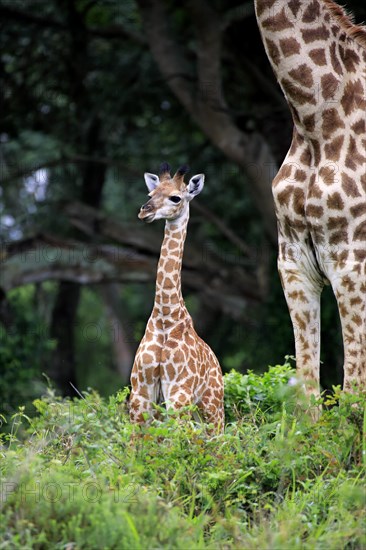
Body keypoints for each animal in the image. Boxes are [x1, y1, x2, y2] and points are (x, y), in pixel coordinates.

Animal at [130, 164, 224, 436]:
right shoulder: (140, 392)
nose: (145, 210)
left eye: (176, 198)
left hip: (212, 407)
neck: (165, 317)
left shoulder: (179, 393)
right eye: (151, 194)